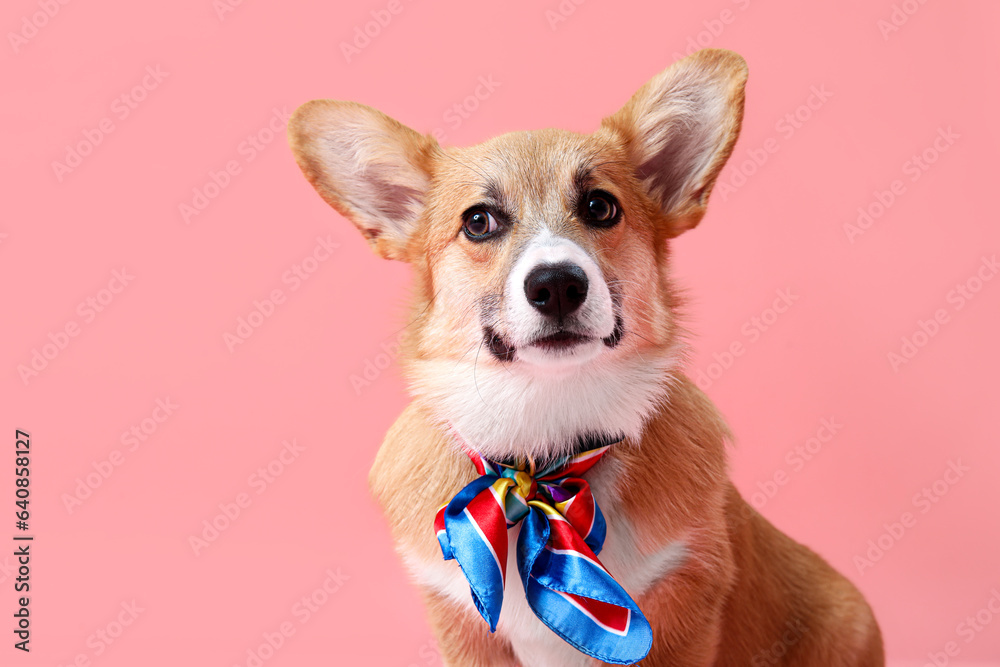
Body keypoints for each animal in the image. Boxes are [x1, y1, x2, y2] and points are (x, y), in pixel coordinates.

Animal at [290, 49, 884, 664]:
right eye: (478, 221)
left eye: (600, 207)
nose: (556, 285)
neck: (544, 456)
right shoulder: (460, 622)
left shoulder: (686, 604)